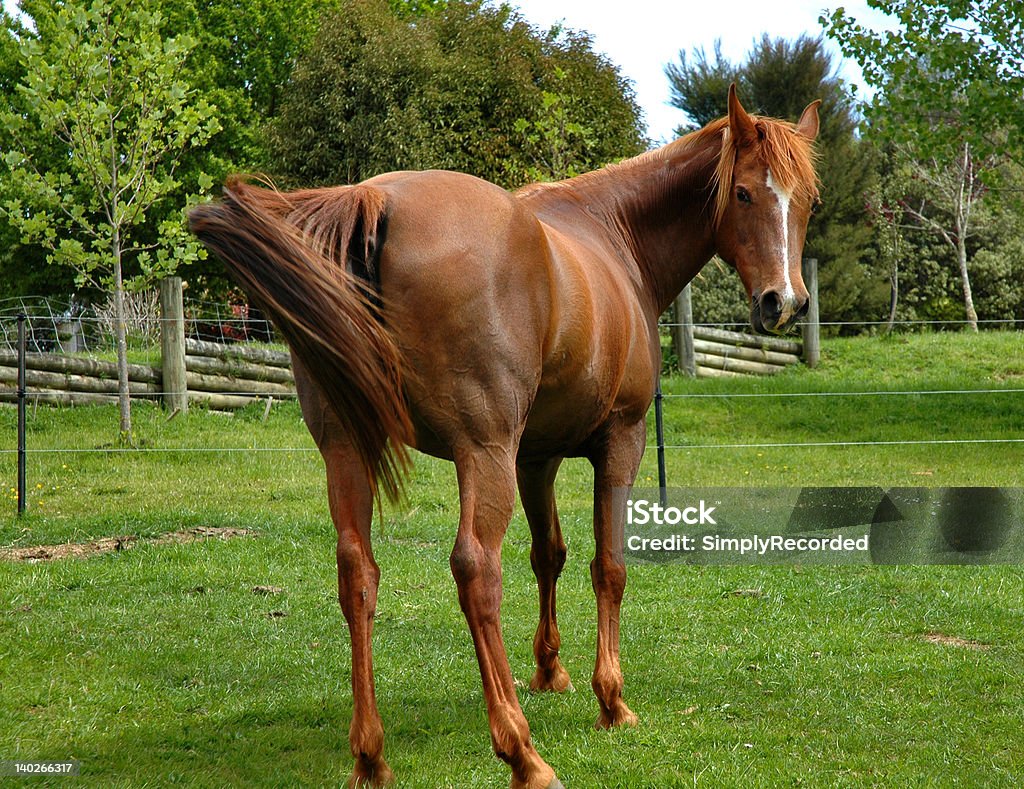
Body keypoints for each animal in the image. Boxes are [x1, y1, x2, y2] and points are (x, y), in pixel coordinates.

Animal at [190, 88, 815, 789]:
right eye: (745, 193)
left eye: (807, 202)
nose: (784, 302)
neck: (613, 236)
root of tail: (374, 201)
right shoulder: (618, 442)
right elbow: (608, 566)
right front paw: (611, 699)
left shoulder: (535, 457)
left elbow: (550, 555)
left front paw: (550, 670)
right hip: (480, 455)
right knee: (476, 572)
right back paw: (523, 752)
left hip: (348, 451)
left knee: (357, 574)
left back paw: (371, 756)